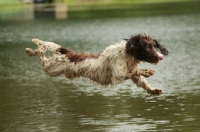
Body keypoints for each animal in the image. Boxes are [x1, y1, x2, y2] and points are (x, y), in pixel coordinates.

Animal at [25, 34, 169, 95]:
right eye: (147, 47)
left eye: (154, 46)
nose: (161, 57)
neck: (127, 55)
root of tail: (68, 53)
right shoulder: (118, 74)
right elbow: (135, 72)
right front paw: (147, 71)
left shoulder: (132, 75)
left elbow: (141, 81)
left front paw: (153, 90)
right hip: (51, 69)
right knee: (42, 56)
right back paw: (32, 50)